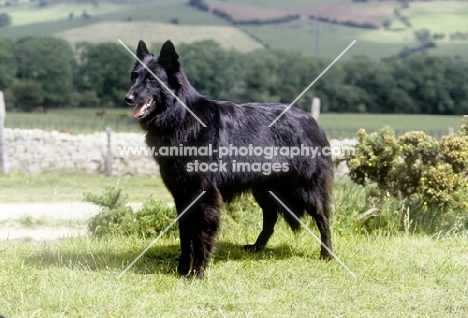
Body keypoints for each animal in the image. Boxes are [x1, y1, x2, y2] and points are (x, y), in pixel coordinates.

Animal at [124, 39, 334, 278]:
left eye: (151, 79)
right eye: (134, 76)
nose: (127, 98)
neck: (181, 117)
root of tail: (311, 120)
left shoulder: (205, 195)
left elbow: (201, 235)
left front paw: (198, 272)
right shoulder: (182, 195)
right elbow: (185, 235)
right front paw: (182, 270)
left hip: (304, 188)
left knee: (323, 218)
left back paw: (327, 254)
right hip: (265, 189)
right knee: (270, 218)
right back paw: (257, 247)